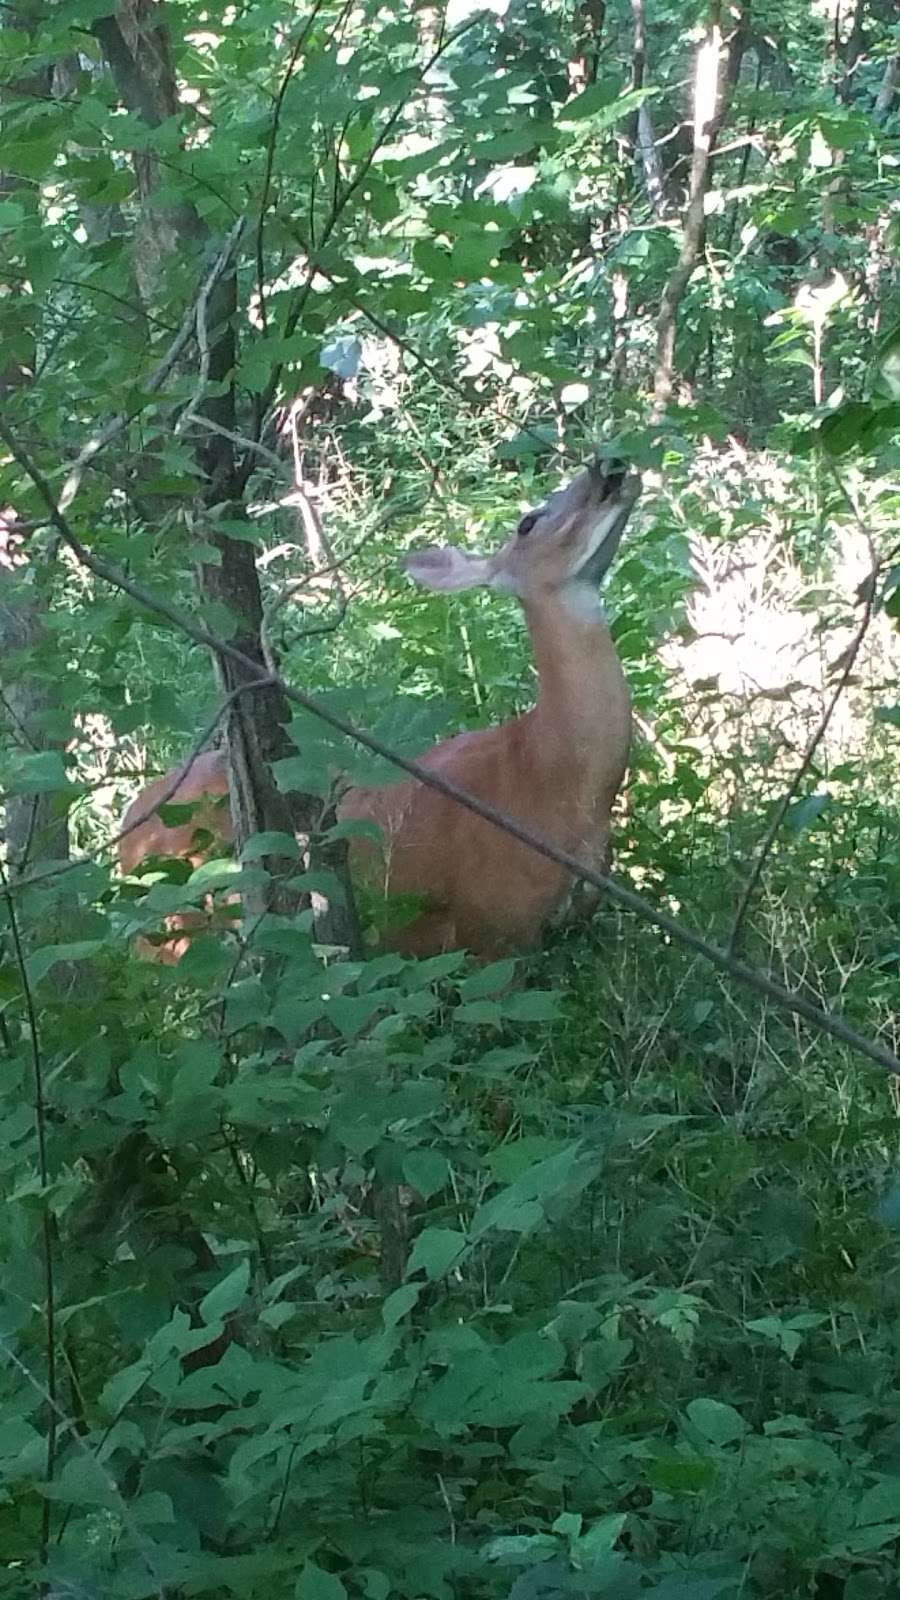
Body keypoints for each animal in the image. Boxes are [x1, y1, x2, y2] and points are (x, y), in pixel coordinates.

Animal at [117, 464, 637, 960]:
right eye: (527, 522)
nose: (609, 470)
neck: (551, 776)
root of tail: (129, 821)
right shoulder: (492, 928)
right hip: (170, 933)